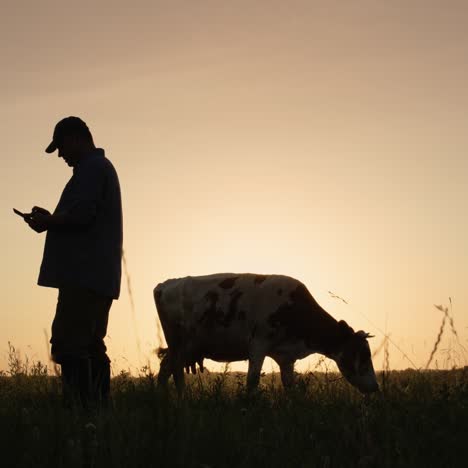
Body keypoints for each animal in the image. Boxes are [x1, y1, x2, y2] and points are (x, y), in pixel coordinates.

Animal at [154, 272, 380, 394]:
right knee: (176, 374)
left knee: (164, 371)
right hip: (177, 345)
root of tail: (165, 284)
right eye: (362, 355)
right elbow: (252, 382)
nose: (376, 387)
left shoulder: (286, 356)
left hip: (183, 349)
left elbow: (290, 387)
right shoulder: (258, 345)